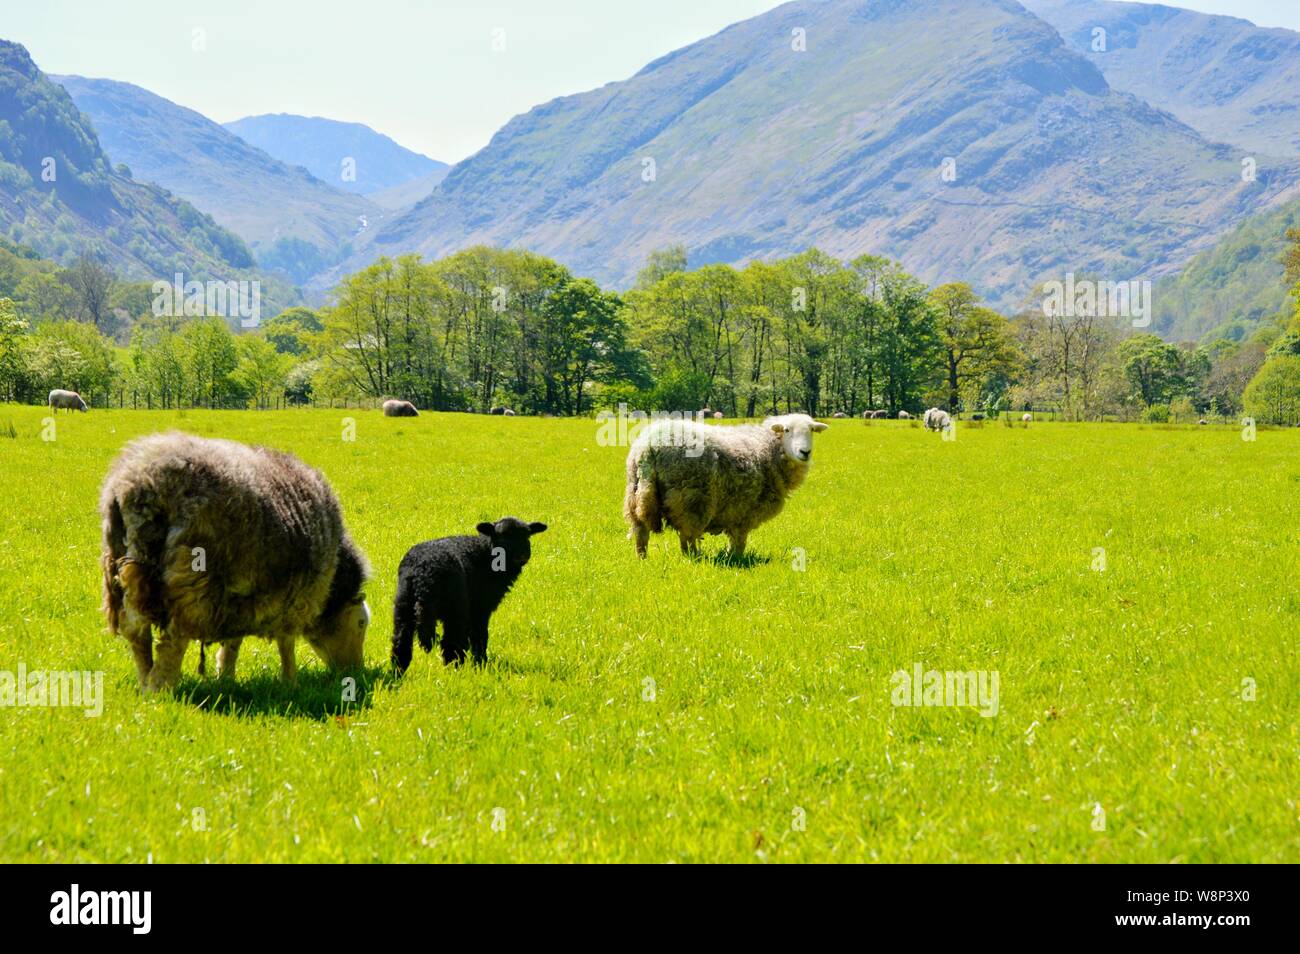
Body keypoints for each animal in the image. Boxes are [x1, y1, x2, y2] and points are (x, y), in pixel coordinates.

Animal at [100, 434, 371, 696]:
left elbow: (233, 641)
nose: (355, 671)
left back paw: (145, 679)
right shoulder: (298, 600)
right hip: (191, 581)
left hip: (124, 567)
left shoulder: (239, 600)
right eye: (361, 623)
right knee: (173, 640)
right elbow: (286, 644)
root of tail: (142, 483)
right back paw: (159, 690)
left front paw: (226, 676)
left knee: (136, 629)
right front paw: (290, 683)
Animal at [387, 514, 546, 670]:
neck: (485, 554)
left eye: (527, 536)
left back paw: (399, 670)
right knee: (451, 642)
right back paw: (456, 669)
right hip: (455, 608)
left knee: (401, 641)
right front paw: (481, 663)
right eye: (502, 536)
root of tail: (423, 574)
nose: (522, 556)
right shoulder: (480, 608)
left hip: (403, 604)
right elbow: (480, 635)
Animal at [618, 413, 821, 561]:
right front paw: (736, 558)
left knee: (641, 532)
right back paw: (693, 558)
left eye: (811, 430)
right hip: (691, 500)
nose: (805, 452)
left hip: (635, 493)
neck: (769, 448)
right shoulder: (744, 512)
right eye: (787, 430)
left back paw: (642, 558)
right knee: (687, 535)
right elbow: (739, 540)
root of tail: (649, 448)